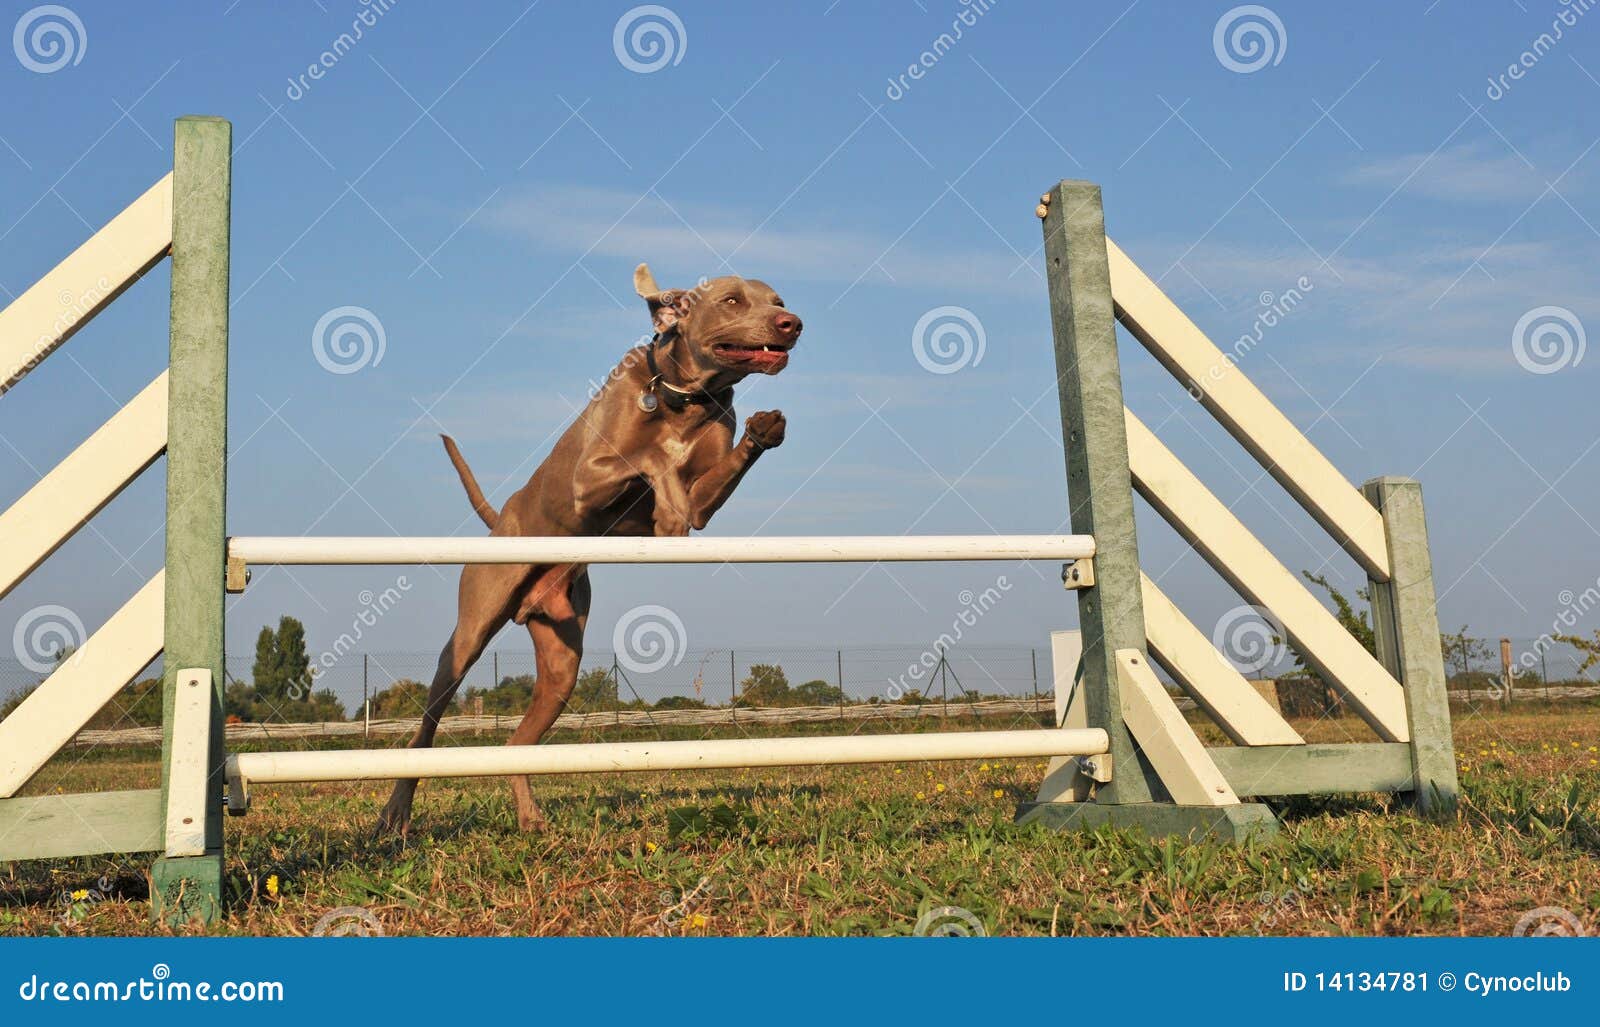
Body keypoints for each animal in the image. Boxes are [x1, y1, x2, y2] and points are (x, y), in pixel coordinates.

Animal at [376, 263, 800, 831]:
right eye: (733, 300)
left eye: (778, 300)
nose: (792, 323)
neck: (682, 395)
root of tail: (499, 522)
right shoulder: (590, 477)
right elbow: (649, 457)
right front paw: (667, 505)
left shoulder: (705, 499)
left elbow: (700, 489)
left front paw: (762, 431)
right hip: (467, 636)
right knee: (424, 731)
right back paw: (396, 813)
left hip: (562, 663)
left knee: (516, 743)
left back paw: (530, 819)